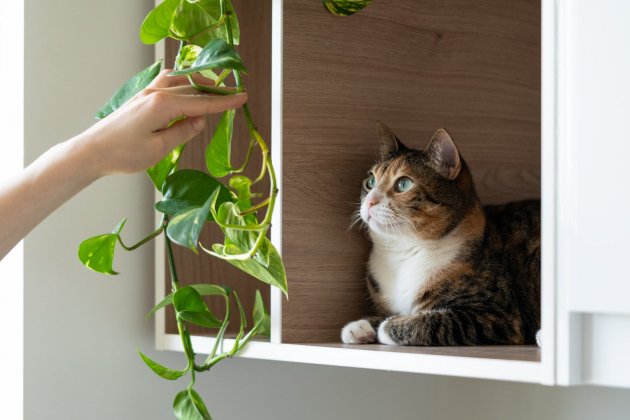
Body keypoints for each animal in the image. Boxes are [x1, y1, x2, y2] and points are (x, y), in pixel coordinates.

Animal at [344, 123, 540, 346]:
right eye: (370, 181)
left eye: (403, 184)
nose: (369, 201)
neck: (402, 252)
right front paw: (360, 326)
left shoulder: (497, 315)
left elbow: (431, 320)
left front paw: (386, 326)